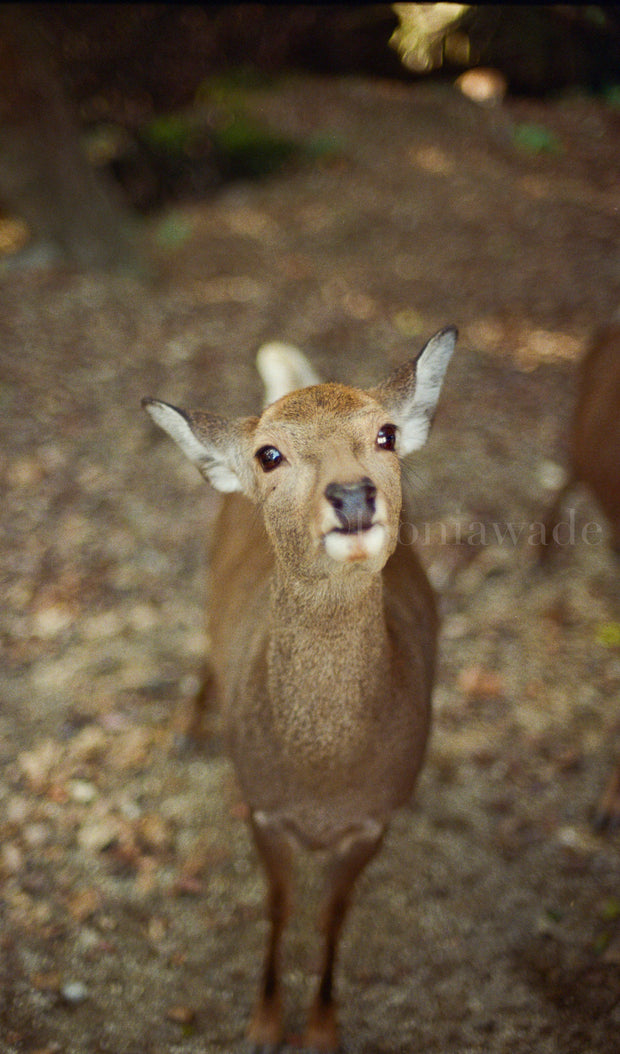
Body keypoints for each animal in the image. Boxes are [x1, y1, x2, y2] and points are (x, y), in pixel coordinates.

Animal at [143, 324, 457, 1049]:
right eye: (270, 454)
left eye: (386, 434)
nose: (352, 495)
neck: (321, 781)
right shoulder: (261, 806)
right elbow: (280, 908)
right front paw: (263, 1023)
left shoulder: (375, 818)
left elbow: (332, 917)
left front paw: (322, 1027)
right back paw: (185, 730)